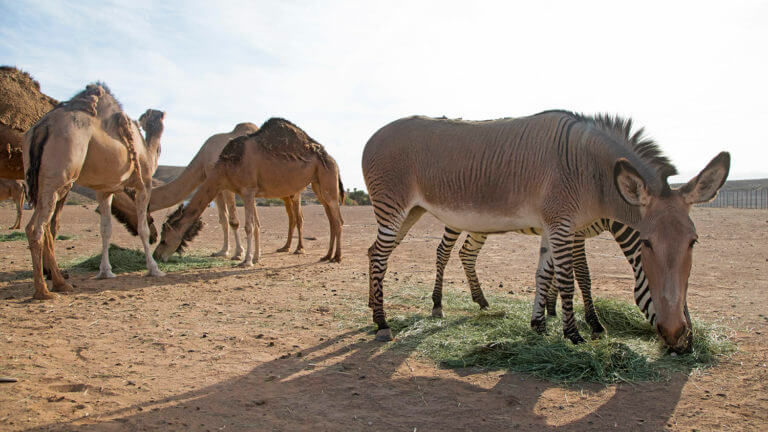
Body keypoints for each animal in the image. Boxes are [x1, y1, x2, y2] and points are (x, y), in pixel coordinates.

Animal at [24, 83, 166, 300]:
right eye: (152, 219)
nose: (156, 237)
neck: (146, 151)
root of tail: (42, 127)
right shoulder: (144, 185)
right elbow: (141, 228)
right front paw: (153, 268)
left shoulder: (104, 190)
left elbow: (105, 229)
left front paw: (105, 271)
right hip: (59, 177)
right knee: (37, 228)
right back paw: (44, 291)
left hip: (40, 181)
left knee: (42, 226)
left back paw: (61, 284)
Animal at [115, 121, 308, 258]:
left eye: (121, 209)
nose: (152, 237)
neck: (202, 159)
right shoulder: (215, 186)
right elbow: (223, 220)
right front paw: (223, 251)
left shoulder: (226, 184)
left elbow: (233, 220)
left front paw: (238, 253)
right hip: (285, 195)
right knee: (291, 217)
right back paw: (285, 247)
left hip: (296, 191)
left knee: (298, 217)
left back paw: (299, 249)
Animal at [154, 118, 344, 266]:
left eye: (163, 240)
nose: (156, 255)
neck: (223, 166)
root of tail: (332, 159)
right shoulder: (250, 192)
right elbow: (255, 224)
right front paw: (254, 258)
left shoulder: (246, 190)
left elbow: (247, 226)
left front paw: (244, 260)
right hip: (318, 183)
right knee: (329, 219)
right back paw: (326, 255)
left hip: (326, 180)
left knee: (337, 220)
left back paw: (335, 257)